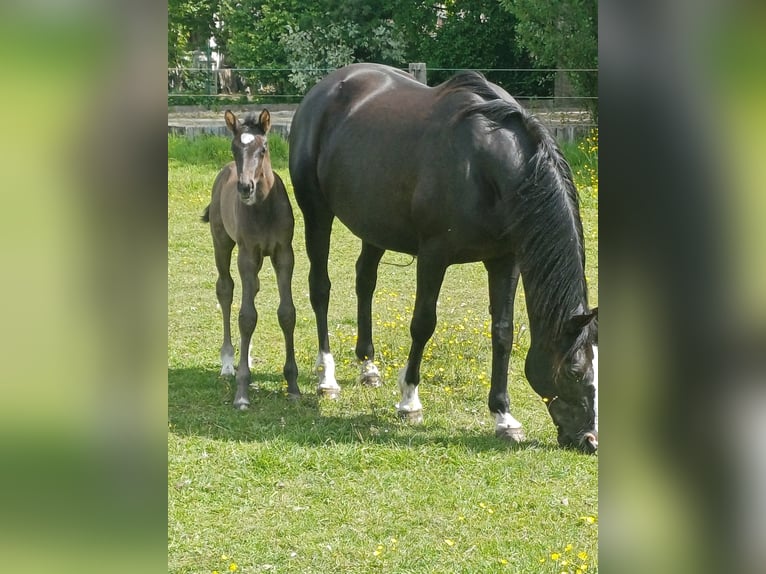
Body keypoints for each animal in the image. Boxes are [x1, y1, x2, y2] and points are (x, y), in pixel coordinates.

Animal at [202, 109, 299, 409]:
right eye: (234, 148)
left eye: (263, 148)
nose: (246, 187)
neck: (264, 208)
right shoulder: (246, 254)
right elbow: (246, 316)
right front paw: (242, 392)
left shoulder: (284, 254)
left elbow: (286, 313)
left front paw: (293, 386)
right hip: (222, 242)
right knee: (225, 289)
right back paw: (228, 362)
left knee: (252, 288)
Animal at [289, 63, 598, 452]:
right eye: (574, 370)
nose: (590, 440)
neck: (484, 165)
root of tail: (324, 89)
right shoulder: (433, 256)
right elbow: (423, 324)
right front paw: (409, 401)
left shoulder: (505, 260)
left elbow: (503, 332)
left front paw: (504, 416)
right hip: (317, 213)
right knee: (320, 289)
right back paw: (327, 378)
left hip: (373, 225)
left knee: (365, 282)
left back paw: (368, 367)